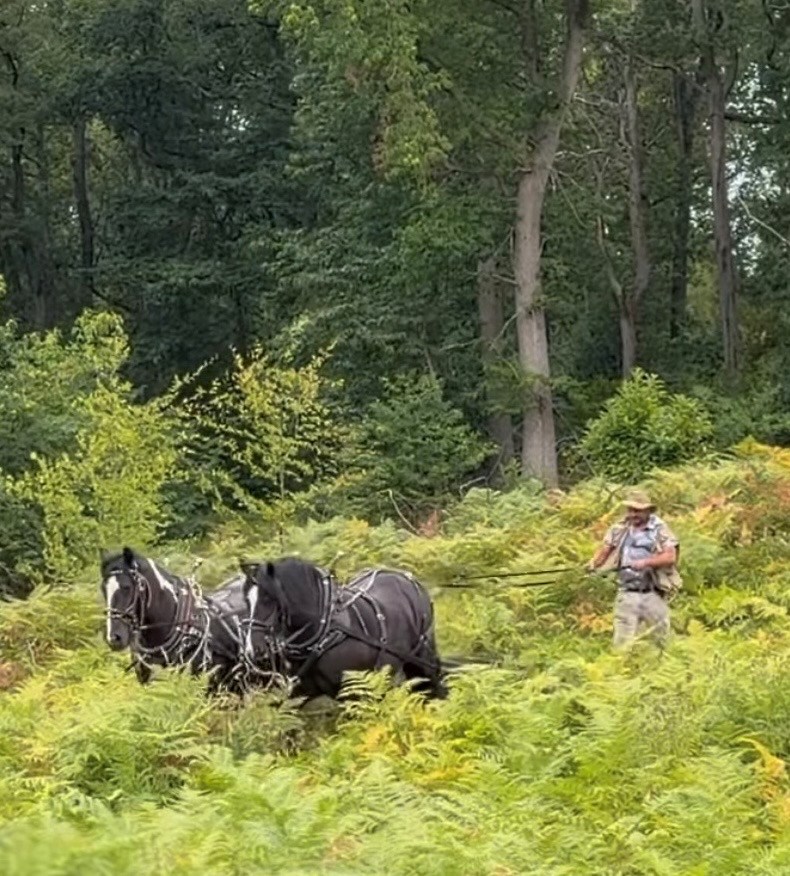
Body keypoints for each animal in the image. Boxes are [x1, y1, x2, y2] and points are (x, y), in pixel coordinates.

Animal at [240, 557, 448, 701]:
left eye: (268, 598)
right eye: (246, 600)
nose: (252, 650)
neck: (324, 630)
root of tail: (405, 577)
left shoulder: (351, 692)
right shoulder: (298, 690)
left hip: (423, 659)